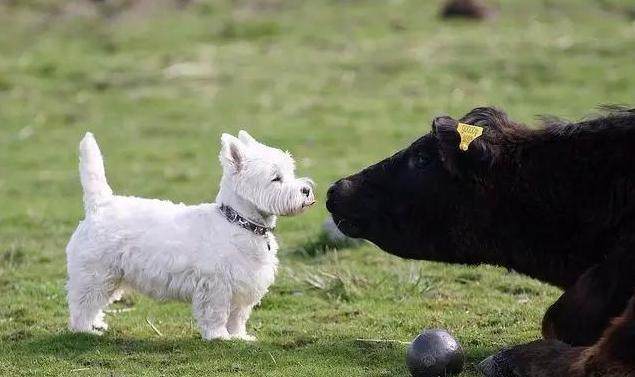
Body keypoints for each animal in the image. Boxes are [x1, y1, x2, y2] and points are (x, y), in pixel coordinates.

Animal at [67, 131, 316, 340]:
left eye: (290, 172)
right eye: (276, 178)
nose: (306, 190)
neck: (238, 222)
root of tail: (101, 204)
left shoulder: (243, 287)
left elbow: (238, 317)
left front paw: (239, 337)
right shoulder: (216, 286)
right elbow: (217, 314)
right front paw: (219, 337)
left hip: (111, 277)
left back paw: (97, 325)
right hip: (96, 274)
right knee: (82, 305)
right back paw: (86, 330)